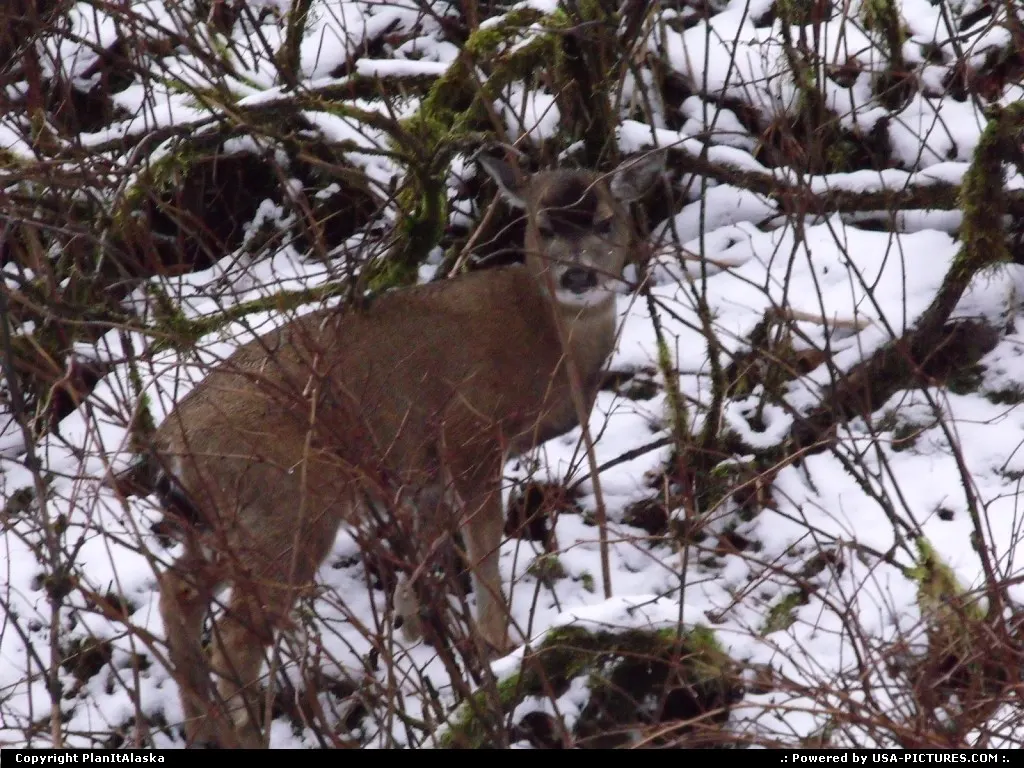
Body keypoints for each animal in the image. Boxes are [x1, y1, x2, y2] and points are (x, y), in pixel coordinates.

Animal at [149, 148, 665, 748]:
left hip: (224, 518)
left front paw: (417, 636)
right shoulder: (470, 436)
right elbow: (484, 549)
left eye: (606, 221)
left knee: (177, 591)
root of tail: (170, 439)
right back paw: (240, 732)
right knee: (233, 636)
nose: (577, 276)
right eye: (542, 225)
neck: (545, 341)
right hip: (288, 502)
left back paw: (198, 724)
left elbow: (421, 558)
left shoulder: (423, 472)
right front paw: (500, 648)